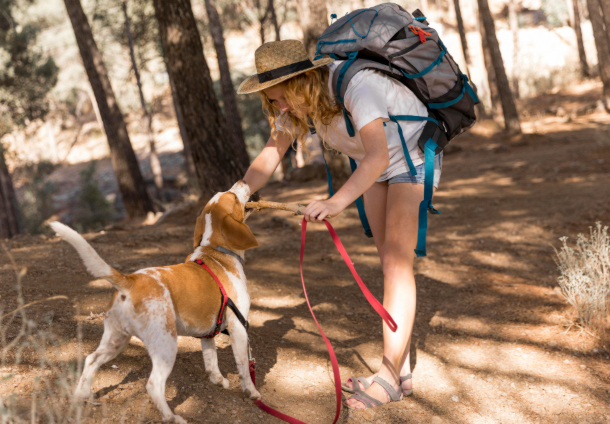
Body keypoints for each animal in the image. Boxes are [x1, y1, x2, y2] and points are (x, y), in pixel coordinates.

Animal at [48, 181, 255, 424]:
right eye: (233, 196)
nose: (242, 181)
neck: (216, 251)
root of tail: (130, 280)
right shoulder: (239, 327)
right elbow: (244, 367)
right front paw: (252, 392)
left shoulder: (207, 334)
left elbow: (211, 361)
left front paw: (218, 380)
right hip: (166, 345)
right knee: (153, 384)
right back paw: (171, 417)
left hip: (116, 341)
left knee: (91, 360)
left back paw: (82, 395)